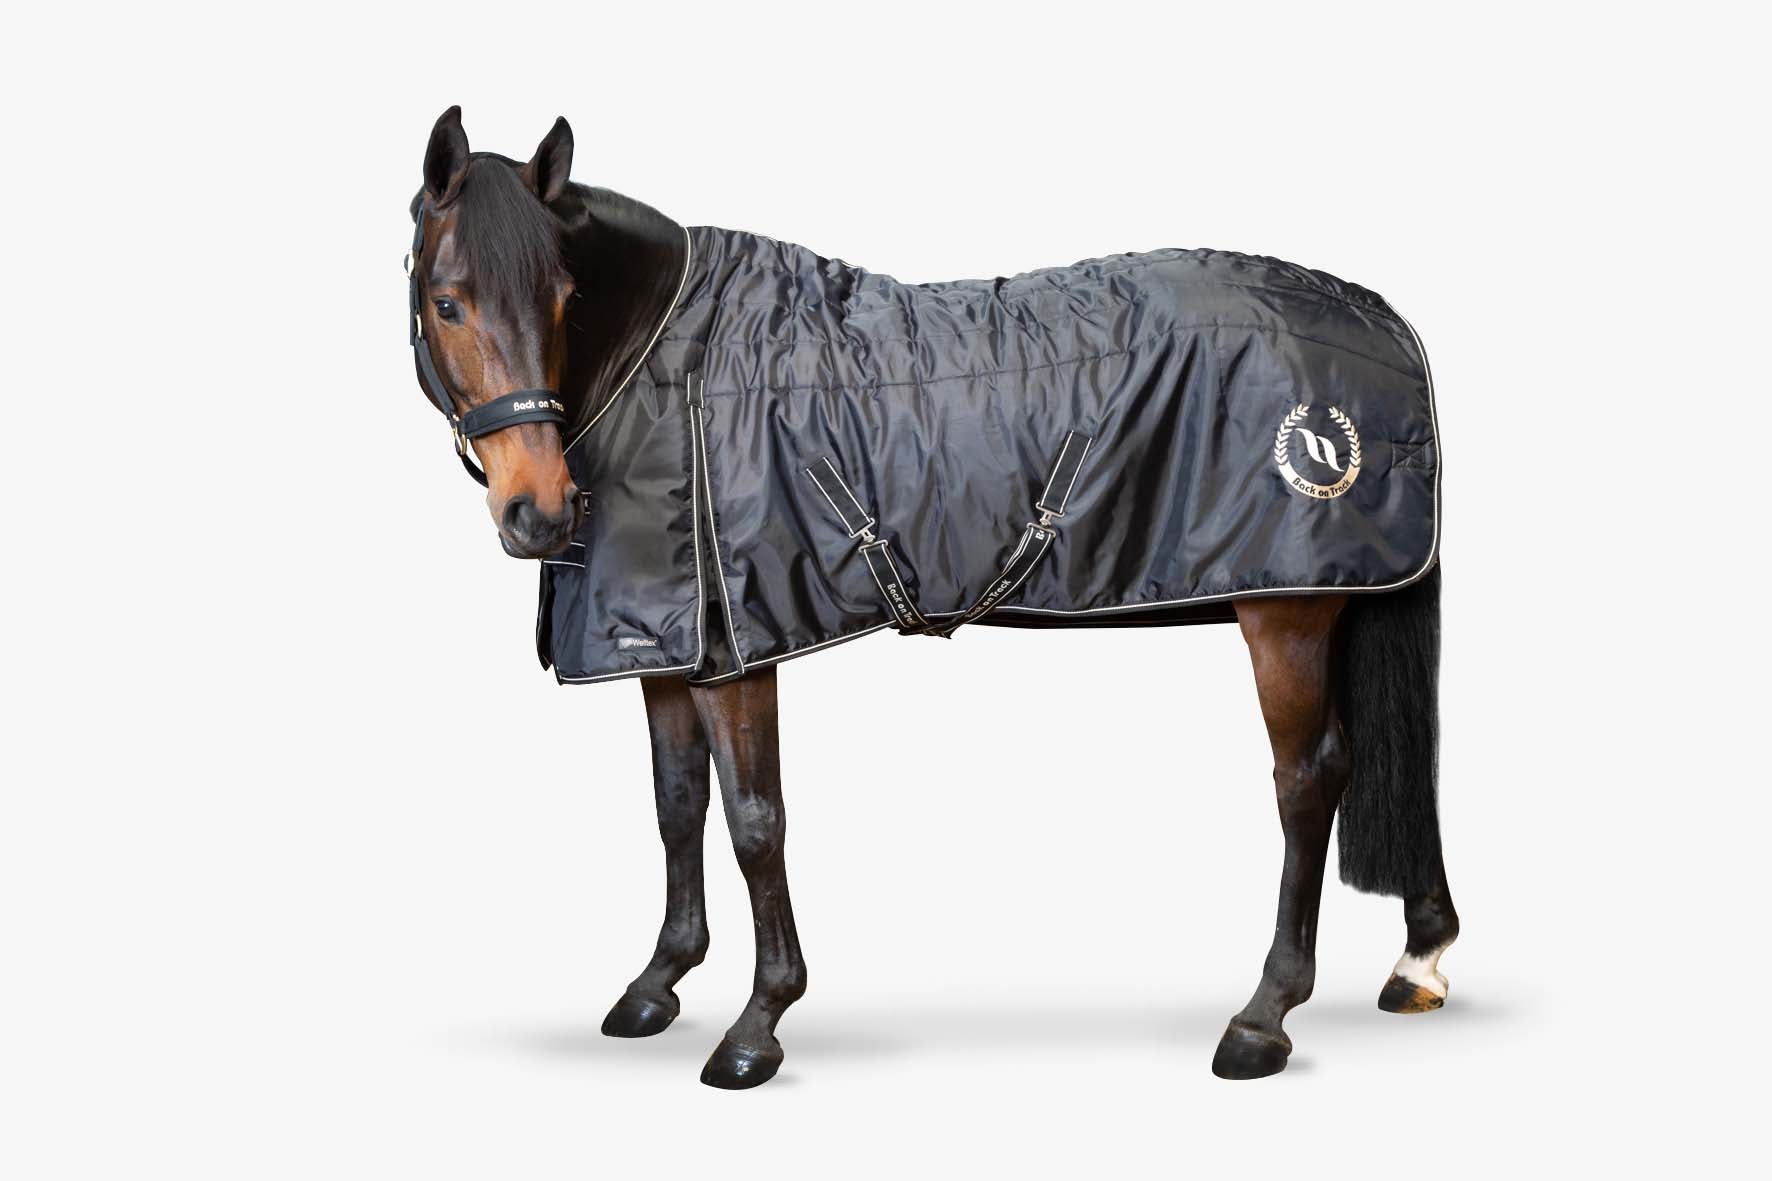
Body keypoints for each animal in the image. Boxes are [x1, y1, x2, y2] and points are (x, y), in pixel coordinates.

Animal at [402, 106, 1458, 1089]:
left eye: (565, 295)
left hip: (1285, 613)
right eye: (447, 303)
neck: (673, 363)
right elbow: (676, 806)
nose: (540, 513)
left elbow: (754, 820)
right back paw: (1419, 959)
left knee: (1308, 779)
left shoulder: (739, 651)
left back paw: (1263, 1016)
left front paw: (757, 1024)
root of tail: (1384, 322)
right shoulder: (666, 646)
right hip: (1329, 597)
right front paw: (659, 983)